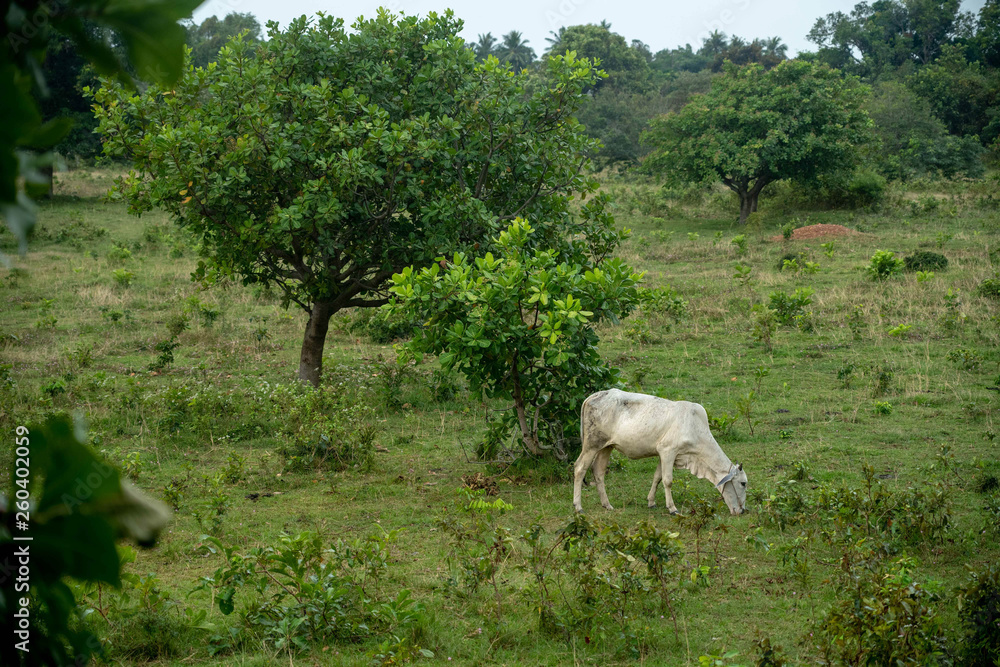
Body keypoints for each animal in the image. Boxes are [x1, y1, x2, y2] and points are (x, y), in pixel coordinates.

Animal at [572, 389, 748, 516]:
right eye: (743, 483)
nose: (742, 510)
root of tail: (595, 395)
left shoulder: (663, 454)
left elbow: (657, 477)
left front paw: (651, 502)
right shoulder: (668, 451)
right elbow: (668, 480)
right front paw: (672, 508)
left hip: (606, 447)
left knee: (598, 471)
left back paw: (607, 504)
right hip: (592, 445)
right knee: (580, 468)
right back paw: (578, 507)